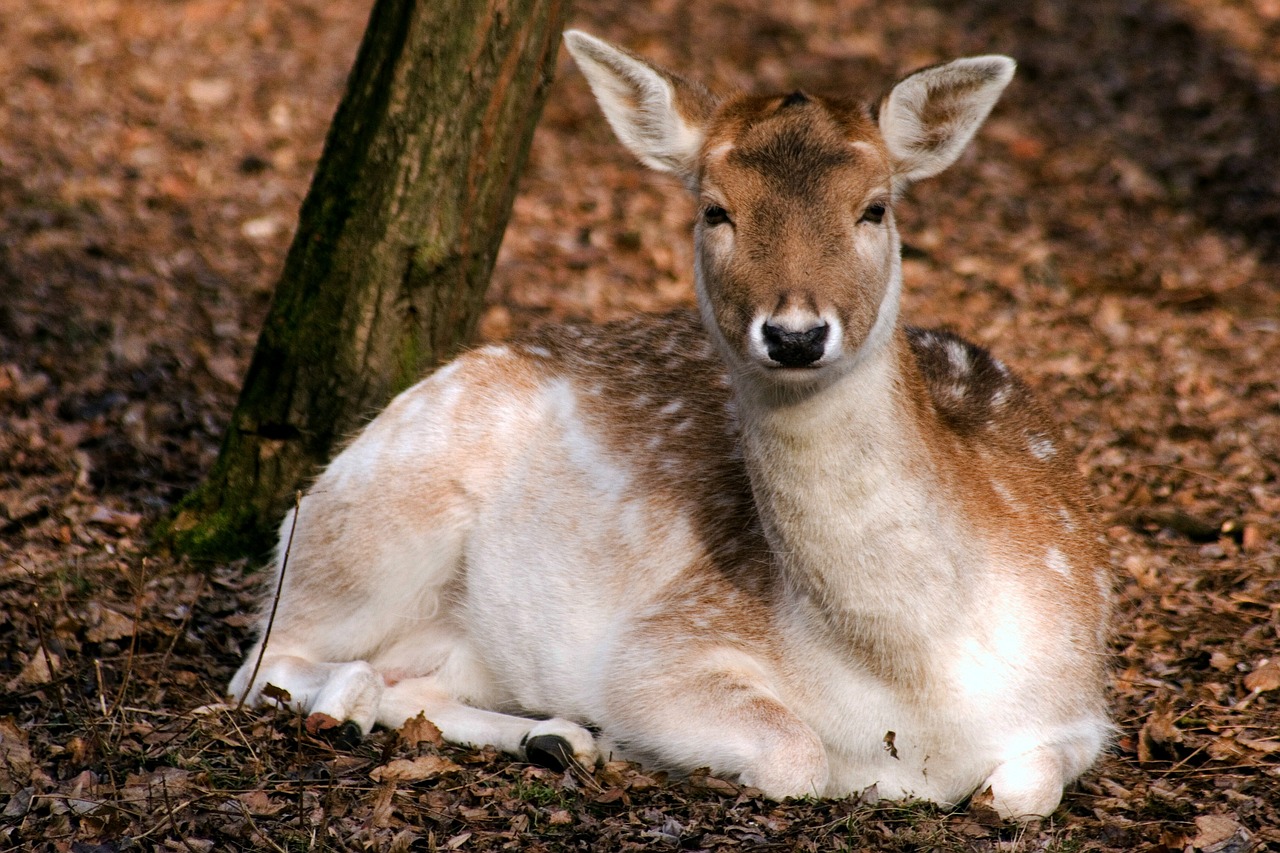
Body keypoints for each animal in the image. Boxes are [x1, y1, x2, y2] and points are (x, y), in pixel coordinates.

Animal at [230, 31, 1111, 819]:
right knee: (270, 659)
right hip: (371, 526)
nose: (795, 334)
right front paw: (650, 746)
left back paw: (555, 737)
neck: (919, 687)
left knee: (410, 679)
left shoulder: (1081, 694)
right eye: (715, 210)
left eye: (875, 208)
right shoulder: (662, 643)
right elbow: (797, 753)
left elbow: (1022, 791)